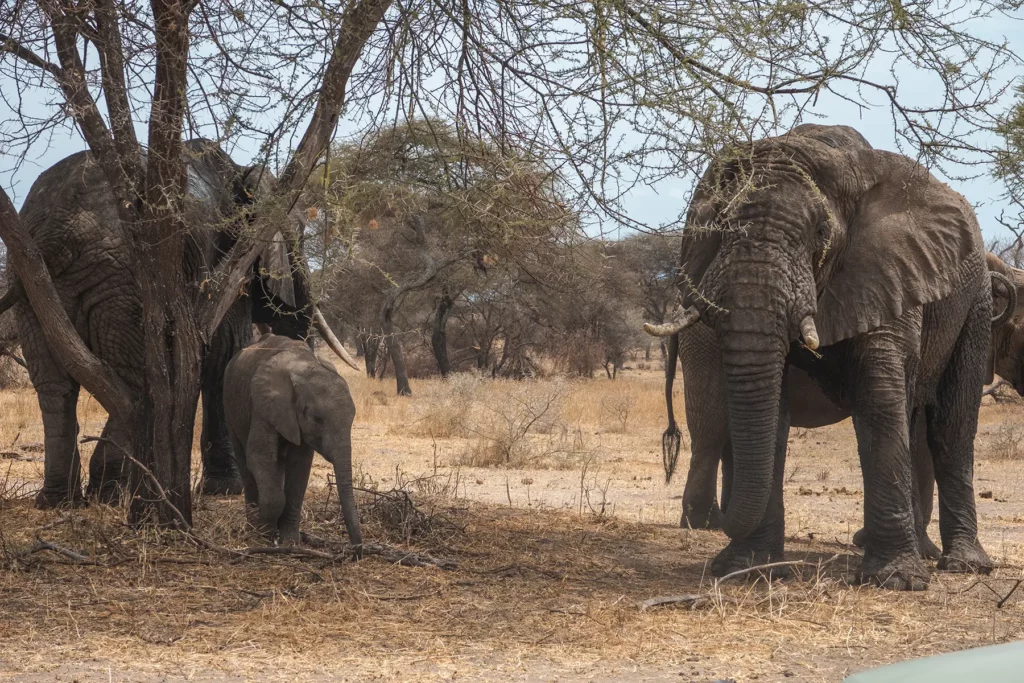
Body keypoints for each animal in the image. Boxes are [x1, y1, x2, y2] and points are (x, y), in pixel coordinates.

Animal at [0, 139, 358, 507]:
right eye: (298, 233)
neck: (242, 173)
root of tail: (55, 235)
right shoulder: (227, 255)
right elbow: (223, 354)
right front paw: (225, 489)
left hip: (32, 286)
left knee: (54, 386)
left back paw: (62, 500)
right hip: (122, 279)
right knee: (133, 382)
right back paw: (113, 494)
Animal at [223, 333, 362, 549]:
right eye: (318, 419)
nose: (358, 548)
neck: (304, 366)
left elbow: (300, 467)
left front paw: (289, 542)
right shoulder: (263, 406)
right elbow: (259, 457)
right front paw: (263, 536)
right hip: (230, 406)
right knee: (244, 462)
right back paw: (252, 528)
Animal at [644, 123, 994, 590]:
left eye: (819, 234)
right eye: (718, 226)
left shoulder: (886, 272)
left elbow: (880, 394)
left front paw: (897, 580)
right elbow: (771, 404)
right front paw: (748, 569)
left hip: (977, 304)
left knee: (950, 428)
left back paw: (963, 565)